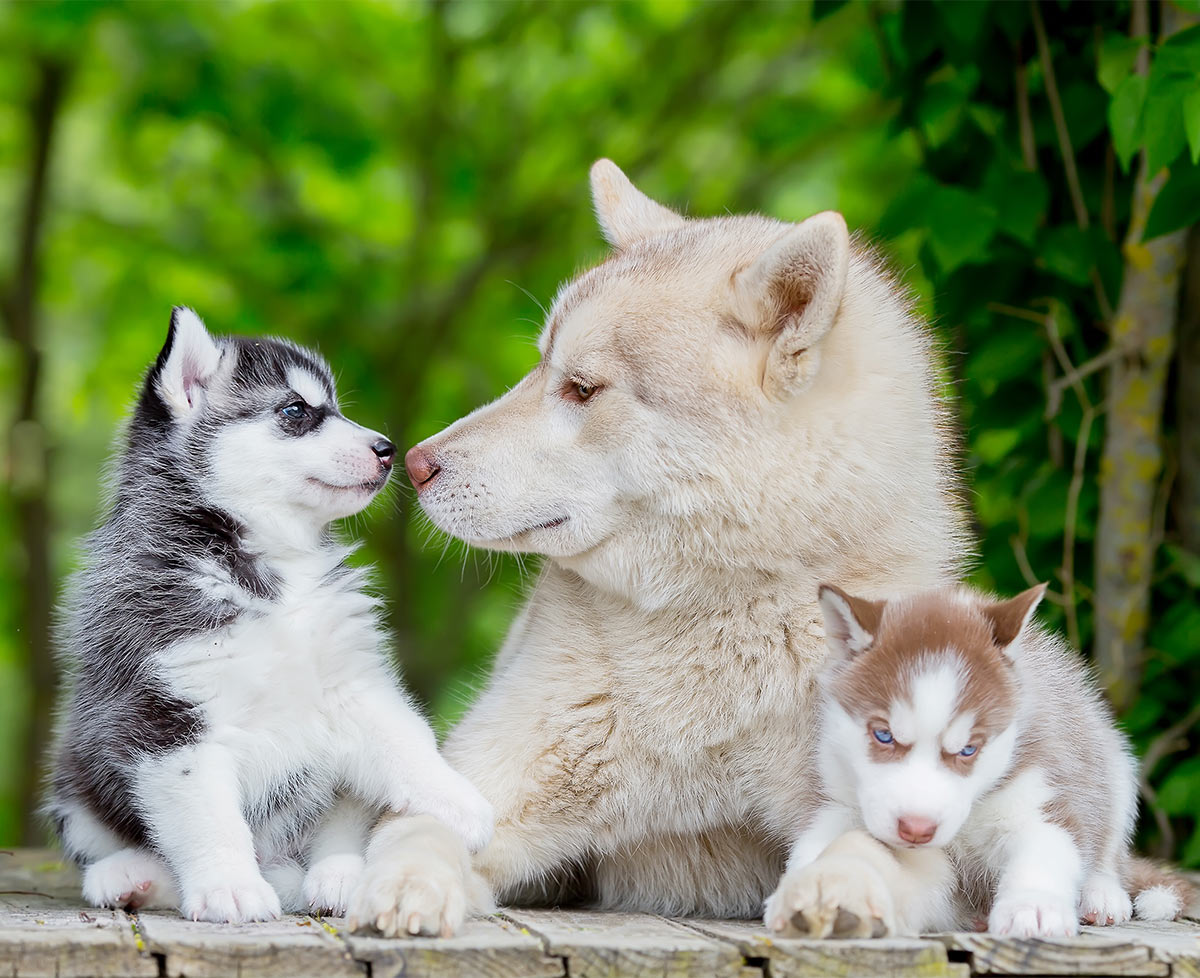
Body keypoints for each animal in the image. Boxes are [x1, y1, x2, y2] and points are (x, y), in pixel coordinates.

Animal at [50, 309, 492, 921]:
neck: (274, 572)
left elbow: (405, 744)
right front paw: (230, 887)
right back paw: (128, 876)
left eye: (335, 407)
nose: (388, 448)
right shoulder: (166, 717)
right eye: (296, 411)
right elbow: (209, 820)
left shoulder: (351, 682)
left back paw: (337, 876)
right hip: (75, 777)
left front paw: (461, 801)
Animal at [763, 580, 1185, 940]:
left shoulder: (1038, 790)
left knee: (1107, 840)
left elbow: (1047, 850)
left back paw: (1102, 894)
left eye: (969, 749)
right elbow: (820, 844)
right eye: (883, 735)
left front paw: (1033, 908)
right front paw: (810, 888)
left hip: (1112, 762)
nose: (917, 830)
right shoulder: (839, 798)